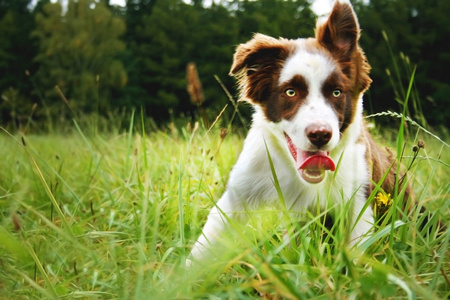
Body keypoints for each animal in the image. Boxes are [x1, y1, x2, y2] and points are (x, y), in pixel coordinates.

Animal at [186, 0, 400, 264]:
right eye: (290, 92)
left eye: (337, 92)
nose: (320, 135)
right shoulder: (239, 193)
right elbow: (205, 245)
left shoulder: (359, 199)